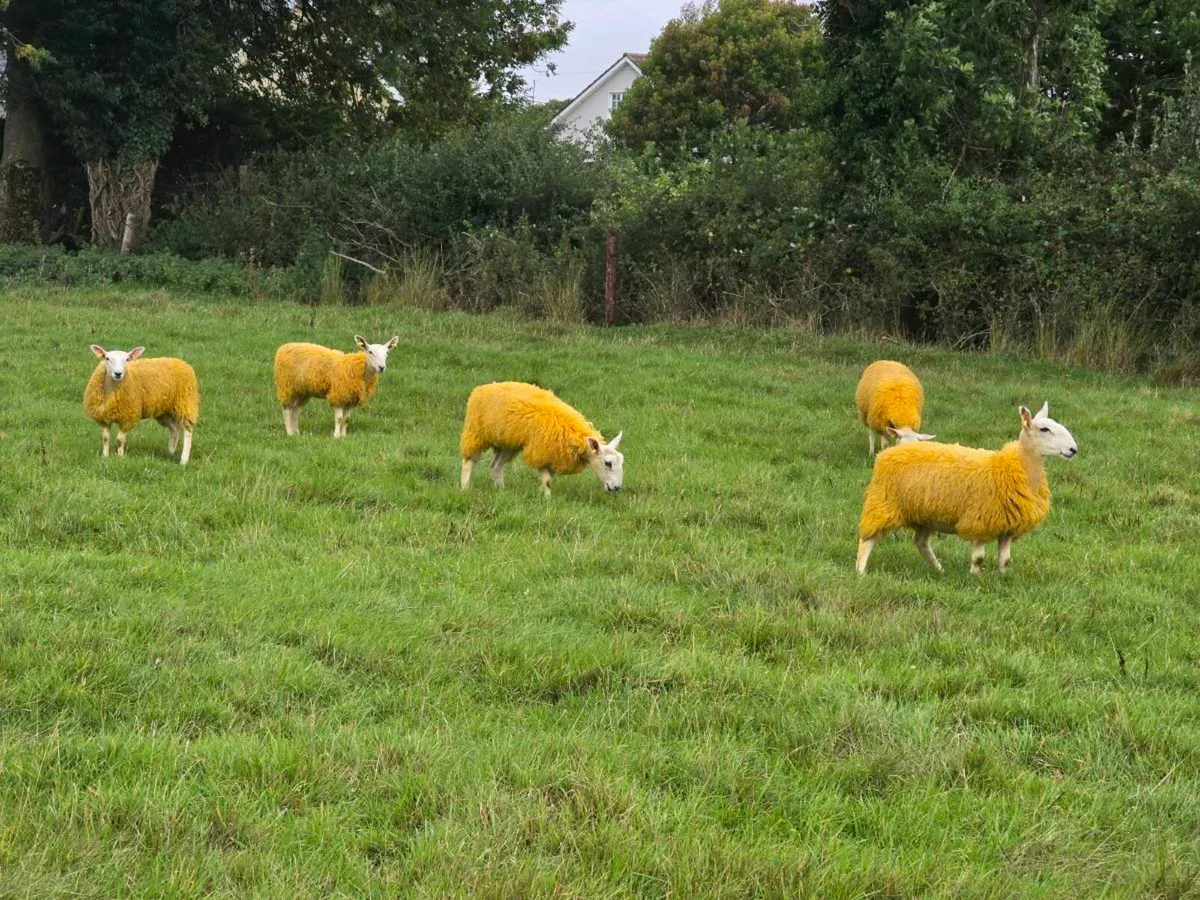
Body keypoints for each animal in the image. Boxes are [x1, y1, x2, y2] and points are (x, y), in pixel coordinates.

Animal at [460, 381, 624, 497]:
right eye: (607, 463)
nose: (616, 488)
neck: (575, 436)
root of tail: (484, 387)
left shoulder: (553, 455)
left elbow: (549, 479)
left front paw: (543, 493)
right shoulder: (542, 452)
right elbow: (547, 480)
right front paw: (547, 499)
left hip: (508, 443)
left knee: (496, 466)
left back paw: (501, 490)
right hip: (476, 433)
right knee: (469, 462)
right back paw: (465, 487)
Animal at [856, 402, 1077, 575]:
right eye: (1044, 429)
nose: (1073, 450)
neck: (1017, 468)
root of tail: (891, 452)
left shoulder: (1007, 526)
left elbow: (1004, 559)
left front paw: (1002, 577)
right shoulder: (979, 520)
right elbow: (978, 558)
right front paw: (975, 577)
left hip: (925, 514)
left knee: (921, 543)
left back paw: (939, 570)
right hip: (883, 503)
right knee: (867, 539)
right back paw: (860, 571)